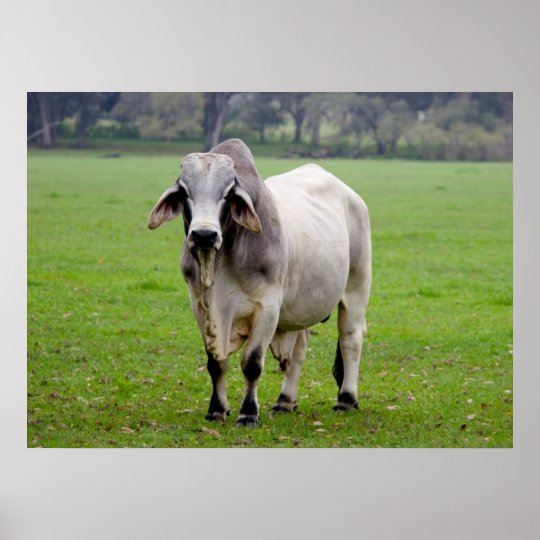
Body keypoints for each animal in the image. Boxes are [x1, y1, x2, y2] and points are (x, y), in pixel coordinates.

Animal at [148, 138, 370, 426]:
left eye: (228, 193)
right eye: (185, 191)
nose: (204, 235)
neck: (219, 264)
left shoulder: (268, 307)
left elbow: (251, 364)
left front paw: (248, 413)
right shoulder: (200, 307)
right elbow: (215, 363)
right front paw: (217, 409)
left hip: (357, 285)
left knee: (350, 338)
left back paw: (346, 399)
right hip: (300, 307)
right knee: (299, 350)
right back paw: (285, 401)